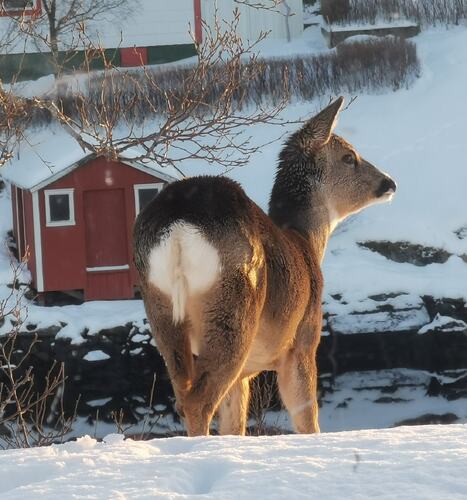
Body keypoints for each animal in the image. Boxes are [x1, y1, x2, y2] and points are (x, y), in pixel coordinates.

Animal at [133, 95, 396, 436]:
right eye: (349, 156)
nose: (389, 182)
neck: (306, 243)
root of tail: (179, 223)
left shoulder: (246, 373)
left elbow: (235, 423)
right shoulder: (303, 340)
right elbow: (306, 418)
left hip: (160, 308)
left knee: (184, 393)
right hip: (234, 306)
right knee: (198, 400)